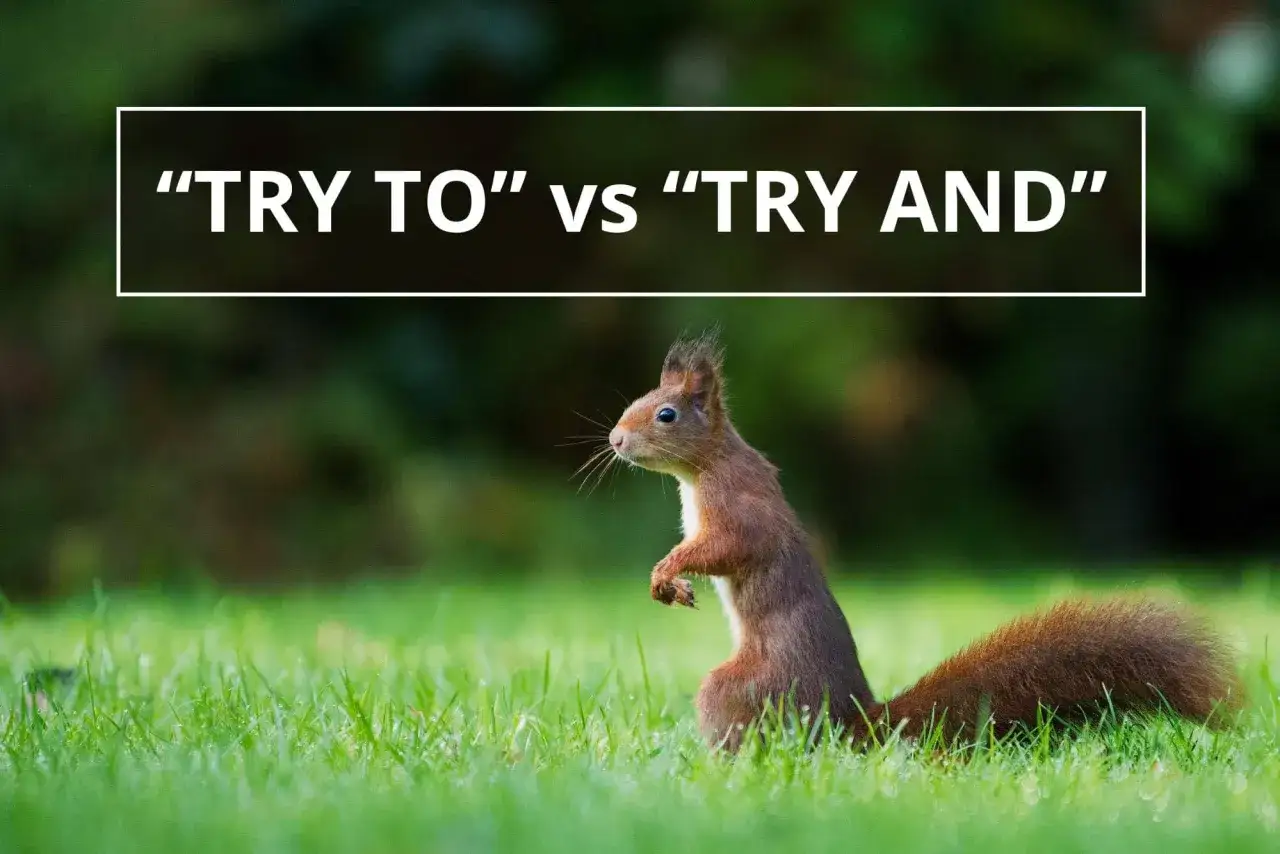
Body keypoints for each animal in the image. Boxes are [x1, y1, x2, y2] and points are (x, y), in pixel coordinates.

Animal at [608, 331, 1240, 752]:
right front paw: (669, 581)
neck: (705, 467)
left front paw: (668, 570)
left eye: (665, 414)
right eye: (633, 403)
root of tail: (855, 724)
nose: (614, 439)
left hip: (744, 688)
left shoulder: (740, 508)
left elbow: (729, 547)